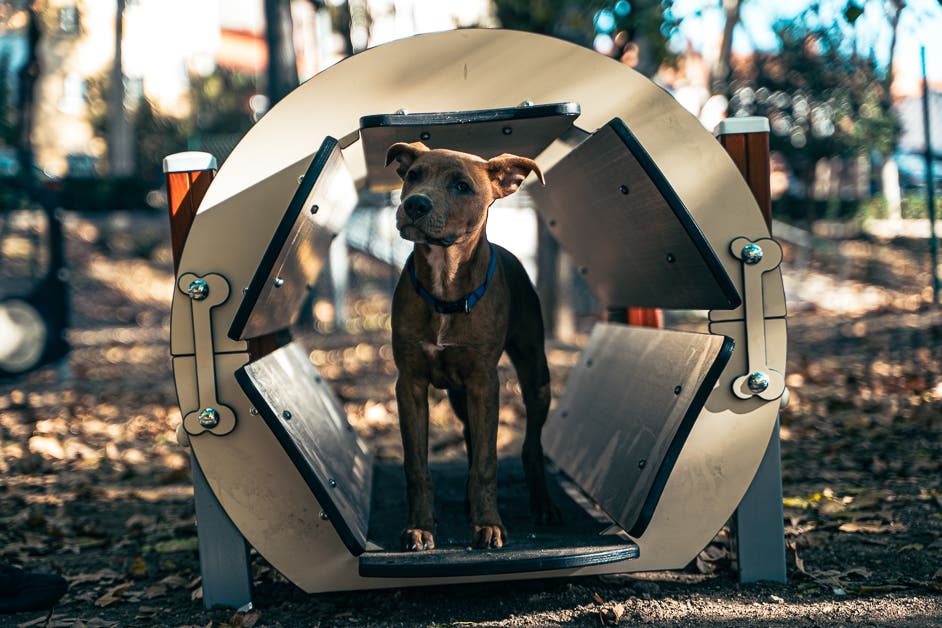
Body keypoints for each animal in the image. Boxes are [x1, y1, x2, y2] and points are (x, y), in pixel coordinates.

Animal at [390, 141, 560, 548]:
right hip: (458, 392)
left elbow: (487, 460)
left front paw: (488, 525)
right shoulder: (410, 385)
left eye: (462, 186)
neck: (445, 286)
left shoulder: (485, 383)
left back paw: (543, 506)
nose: (415, 204)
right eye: (413, 175)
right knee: (470, 434)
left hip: (536, 375)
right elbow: (416, 464)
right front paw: (420, 527)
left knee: (531, 446)